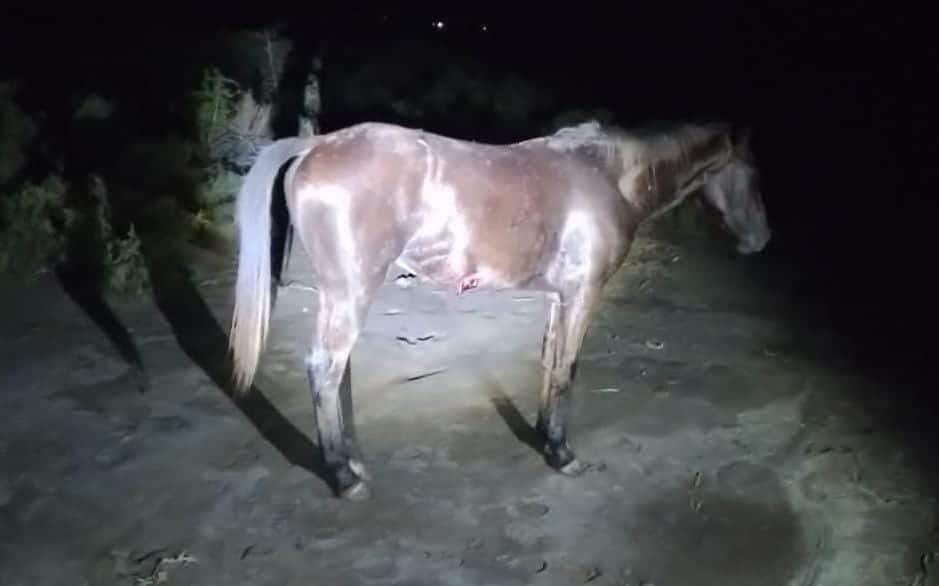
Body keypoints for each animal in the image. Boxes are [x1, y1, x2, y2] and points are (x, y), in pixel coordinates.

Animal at [227, 119, 771, 500]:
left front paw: (545, 436)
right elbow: (568, 368)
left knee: (336, 373)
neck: (607, 175)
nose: (762, 241)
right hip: (350, 292)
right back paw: (344, 476)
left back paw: (353, 460)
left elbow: (551, 364)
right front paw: (562, 454)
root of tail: (316, 145)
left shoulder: (558, 297)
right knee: (325, 367)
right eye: (753, 172)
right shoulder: (583, 294)